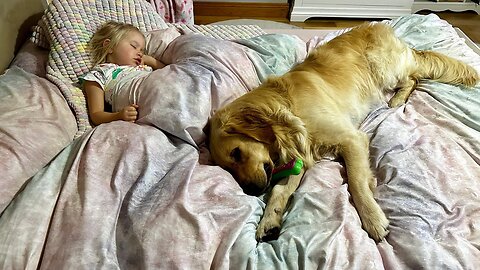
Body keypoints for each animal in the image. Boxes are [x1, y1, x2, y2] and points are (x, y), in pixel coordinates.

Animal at [208, 22, 478, 243]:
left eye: (236, 152)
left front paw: (373, 218)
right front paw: (269, 221)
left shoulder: (351, 139)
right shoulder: (299, 152)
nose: (251, 191)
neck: (287, 106)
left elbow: (357, 182)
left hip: (385, 69)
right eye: (228, 168)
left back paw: (397, 100)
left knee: (413, 79)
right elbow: (278, 190)